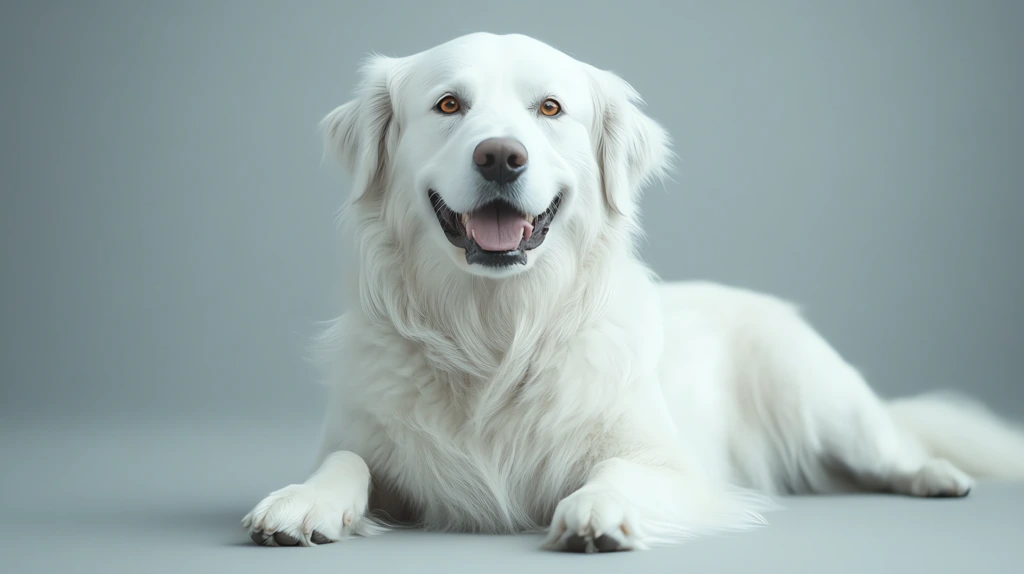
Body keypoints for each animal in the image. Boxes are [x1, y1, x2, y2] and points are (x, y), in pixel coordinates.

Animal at [243, 33, 1024, 552]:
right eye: (447, 104)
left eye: (550, 108)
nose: (500, 156)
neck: (498, 333)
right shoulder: (359, 436)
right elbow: (346, 461)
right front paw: (302, 502)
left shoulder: (673, 464)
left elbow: (620, 467)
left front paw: (597, 509)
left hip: (821, 395)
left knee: (892, 443)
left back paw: (935, 474)